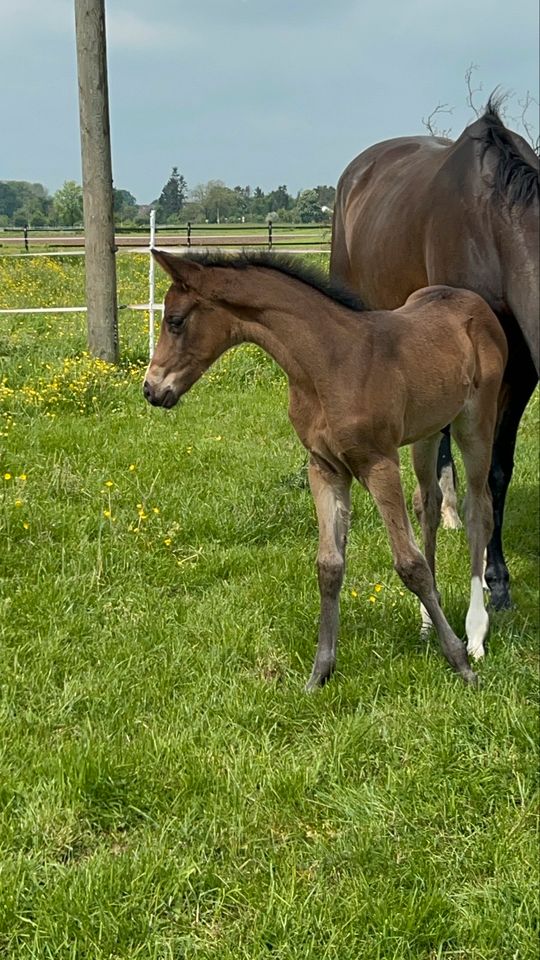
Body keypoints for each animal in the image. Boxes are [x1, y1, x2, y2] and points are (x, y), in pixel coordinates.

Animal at [142, 251, 506, 688]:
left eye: (176, 321)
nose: (151, 389)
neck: (330, 363)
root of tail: (471, 300)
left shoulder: (379, 463)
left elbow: (409, 563)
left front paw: (459, 662)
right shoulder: (325, 467)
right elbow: (330, 566)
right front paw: (320, 673)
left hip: (476, 422)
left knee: (478, 509)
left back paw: (475, 634)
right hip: (429, 430)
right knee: (429, 504)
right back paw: (425, 624)